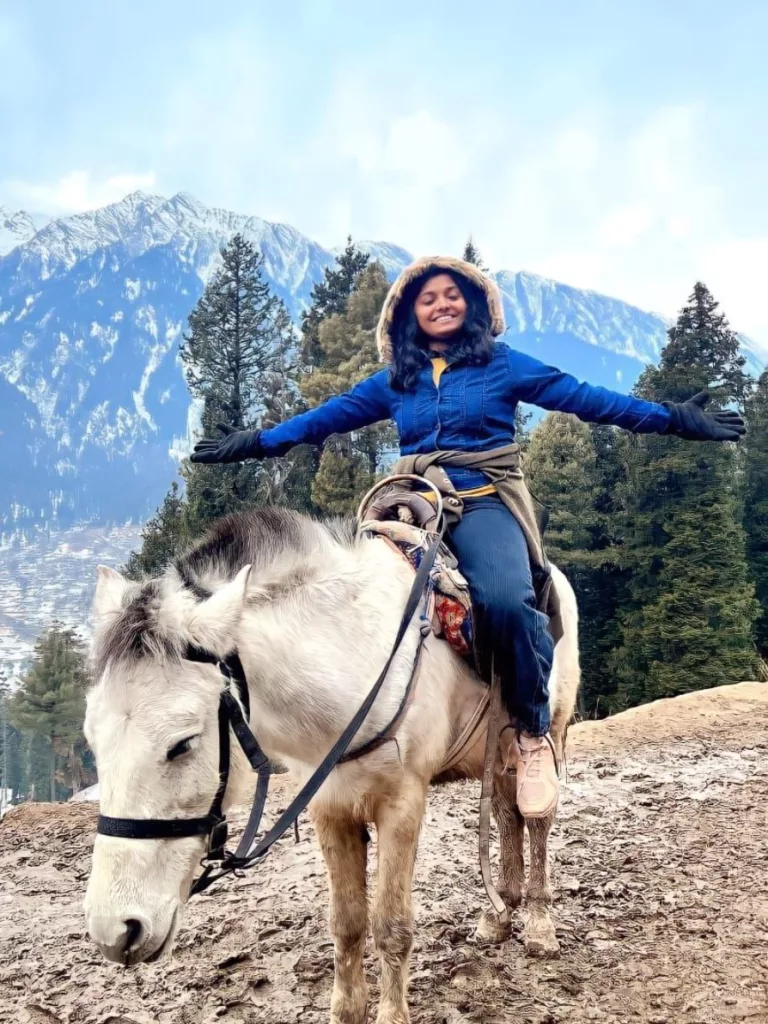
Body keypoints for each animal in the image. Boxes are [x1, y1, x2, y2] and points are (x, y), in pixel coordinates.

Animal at [83, 505, 581, 1024]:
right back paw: (500, 913)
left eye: (181, 744)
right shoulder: (331, 808)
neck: (355, 663)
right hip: (496, 752)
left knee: (537, 818)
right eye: (92, 742)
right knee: (506, 813)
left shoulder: (402, 805)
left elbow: (391, 925)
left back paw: (539, 921)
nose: (116, 930)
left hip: (547, 730)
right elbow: (346, 922)